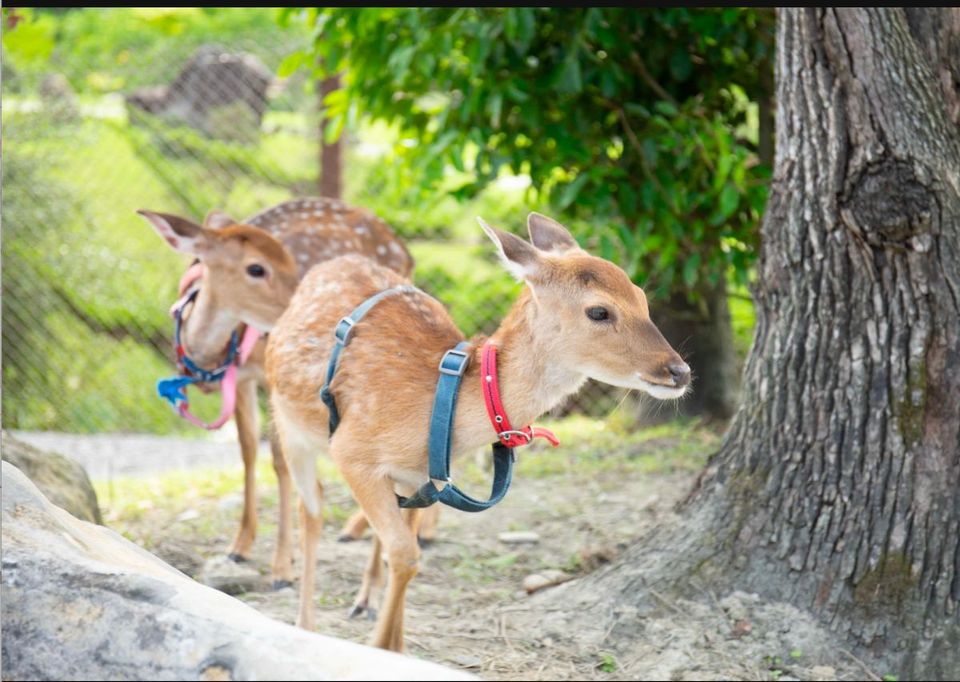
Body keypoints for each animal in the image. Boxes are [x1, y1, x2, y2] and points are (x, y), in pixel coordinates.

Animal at [139, 195, 438, 584]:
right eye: (256, 268)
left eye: (289, 258)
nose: (297, 305)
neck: (207, 355)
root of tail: (403, 248)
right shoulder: (242, 378)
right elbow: (248, 449)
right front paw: (240, 545)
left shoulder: (271, 376)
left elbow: (279, 460)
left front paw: (282, 565)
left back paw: (410, 533)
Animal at [260, 212, 688, 648]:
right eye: (599, 312)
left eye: (641, 297)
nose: (679, 371)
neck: (437, 406)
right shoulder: (352, 451)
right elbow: (405, 554)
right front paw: (379, 649)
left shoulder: (420, 476)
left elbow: (404, 554)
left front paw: (395, 646)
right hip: (288, 420)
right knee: (311, 507)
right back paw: (302, 618)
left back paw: (363, 601)